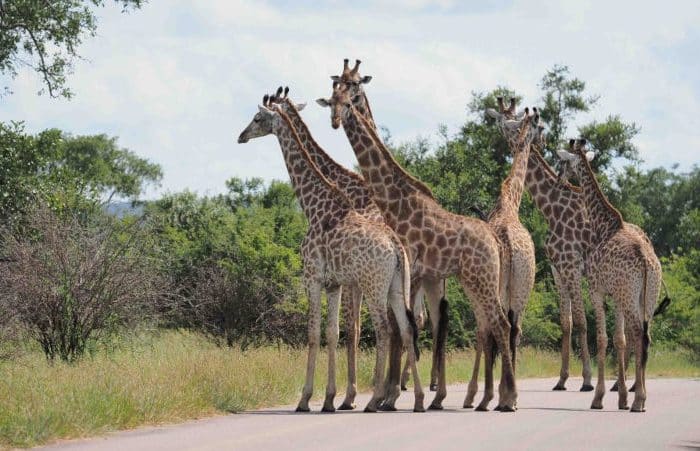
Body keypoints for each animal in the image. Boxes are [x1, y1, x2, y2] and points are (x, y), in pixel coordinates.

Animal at [238, 93, 424, 412]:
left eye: (258, 117)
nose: (241, 136)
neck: (313, 205)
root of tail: (397, 246)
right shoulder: (335, 282)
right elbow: (333, 332)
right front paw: (329, 398)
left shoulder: (312, 276)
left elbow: (315, 333)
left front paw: (306, 399)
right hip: (398, 286)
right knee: (407, 328)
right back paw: (417, 398)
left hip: (374, 285)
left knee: (385, 329)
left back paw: (376, 398)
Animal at [556, 139, 664, 412]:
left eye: (564, 162)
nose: (561, 180)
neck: (602, 224)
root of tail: (646, 262)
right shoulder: (615, 295)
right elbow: (619, 339)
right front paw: (622, 397)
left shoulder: (597, 290)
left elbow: (603, 338)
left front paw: (599, 397)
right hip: (648, 296)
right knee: (645, 336)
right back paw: (639, 398)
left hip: (630, 295)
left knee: (639, 334)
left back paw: (639, 400)